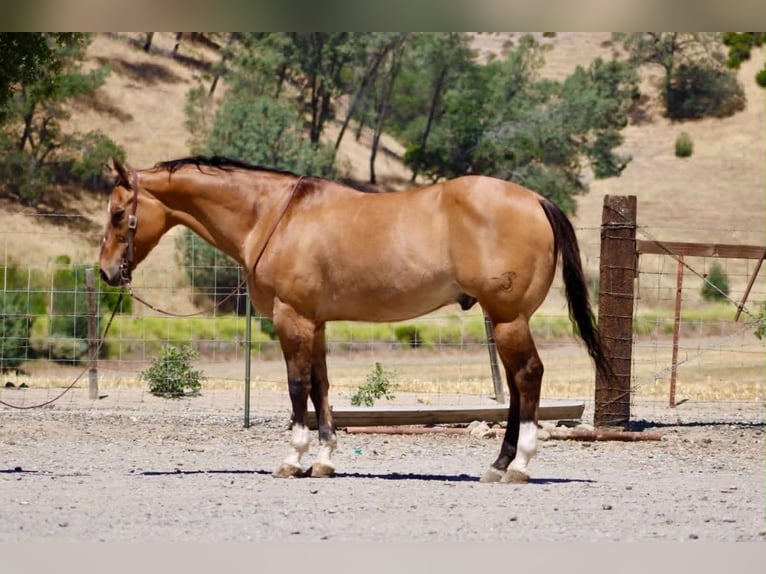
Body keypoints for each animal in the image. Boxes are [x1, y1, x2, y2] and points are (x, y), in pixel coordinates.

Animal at [99, 155, 612, 483]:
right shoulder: (315, 323)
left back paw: (520, 466)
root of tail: (536, 200)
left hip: (508, 318)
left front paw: (293, 459)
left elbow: (297, 388)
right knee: (518, 386)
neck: (274, 216)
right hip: (505, 319)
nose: (106, 272)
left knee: (527, 377)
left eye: (119, 213)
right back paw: (499, 464)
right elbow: (322, 388)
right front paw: (324, 461)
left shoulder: (292, 319)